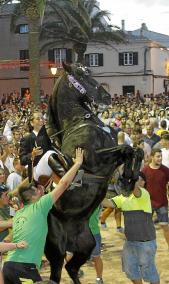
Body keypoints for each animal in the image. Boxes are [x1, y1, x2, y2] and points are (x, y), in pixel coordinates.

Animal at [44, 63, 143, 282]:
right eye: (81, 75)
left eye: (89, 70)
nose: (106, 97)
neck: (77, 122)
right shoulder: (95, 161)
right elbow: (126, 149)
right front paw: (126, 180)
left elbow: (135, 151)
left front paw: (128, 180)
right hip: (56, 250)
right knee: (58, 271)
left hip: (86, 245)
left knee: (72, 268)